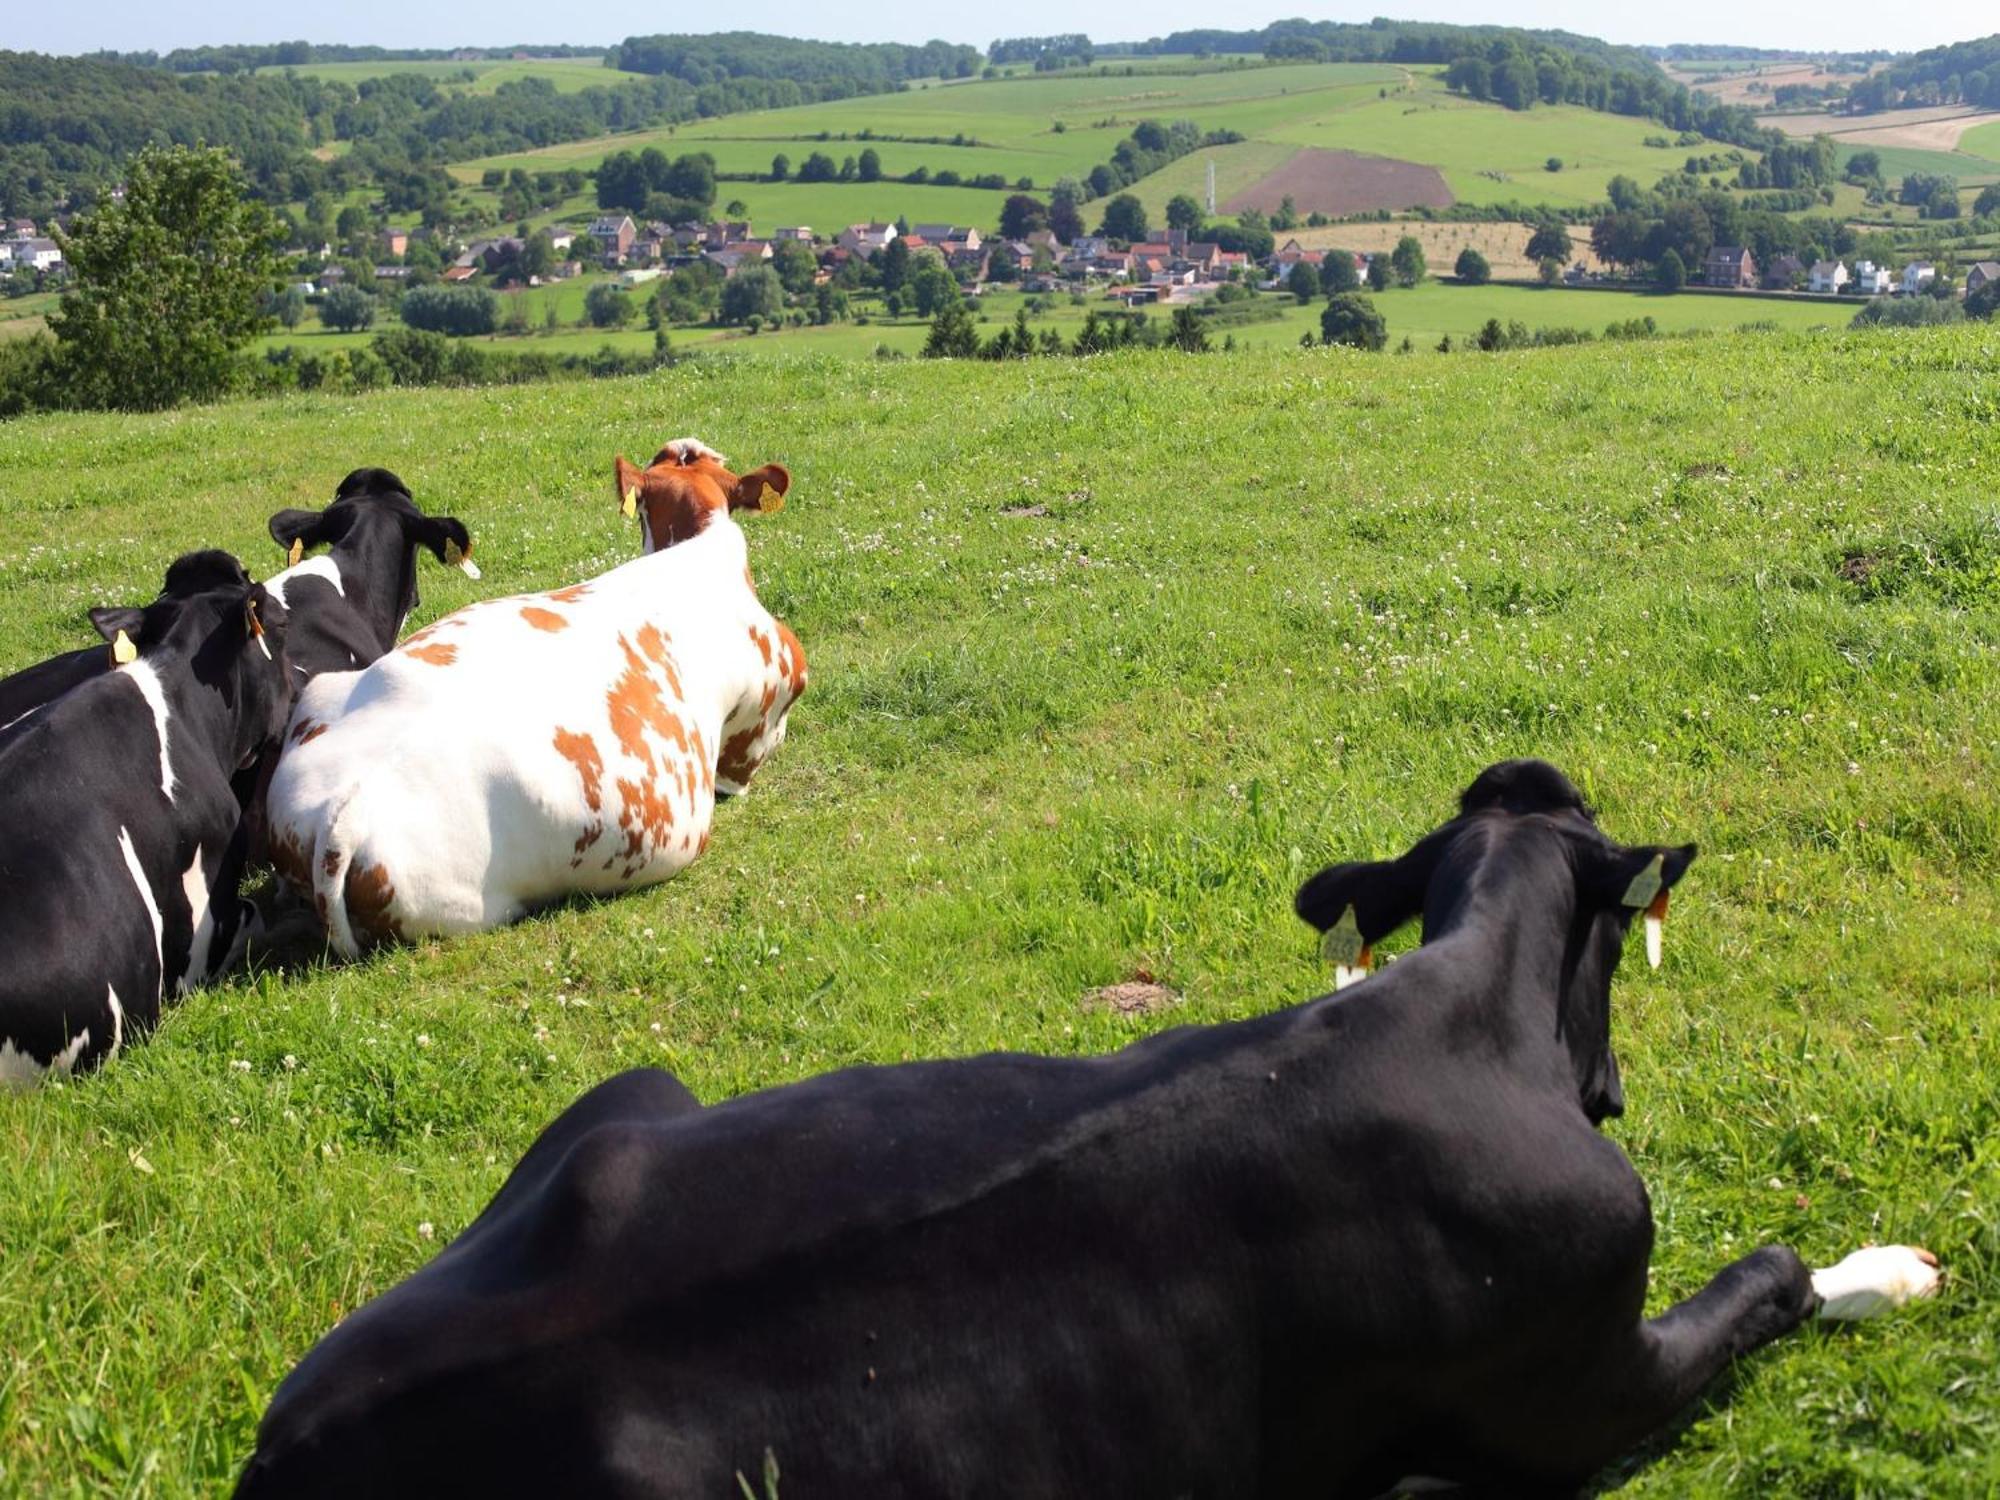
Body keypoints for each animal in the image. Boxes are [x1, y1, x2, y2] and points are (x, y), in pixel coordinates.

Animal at [230, 764, 1936, 1500]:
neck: (1468, 1012)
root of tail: (297, 1444)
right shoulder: (1586, 1381)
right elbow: (1771, 1280)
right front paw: (1884, 1268)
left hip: (624, 1108)